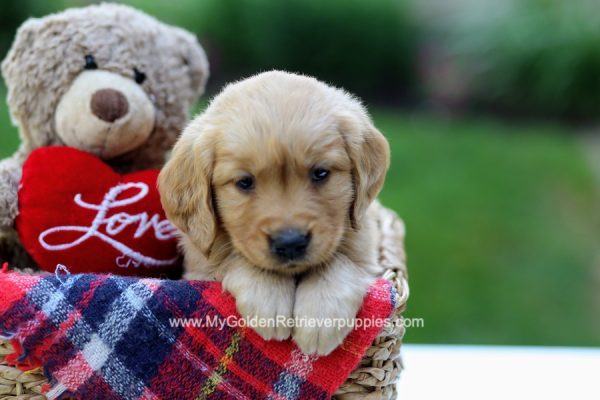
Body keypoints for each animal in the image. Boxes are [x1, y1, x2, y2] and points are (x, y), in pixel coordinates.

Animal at [158, 70, 390, 354]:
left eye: (320, 173)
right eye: (244, 182)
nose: (290, 243)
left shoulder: (365, 250)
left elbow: (341, 260)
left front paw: (321, 315)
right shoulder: (201, 266)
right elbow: (233, 256)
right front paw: (269, 299)